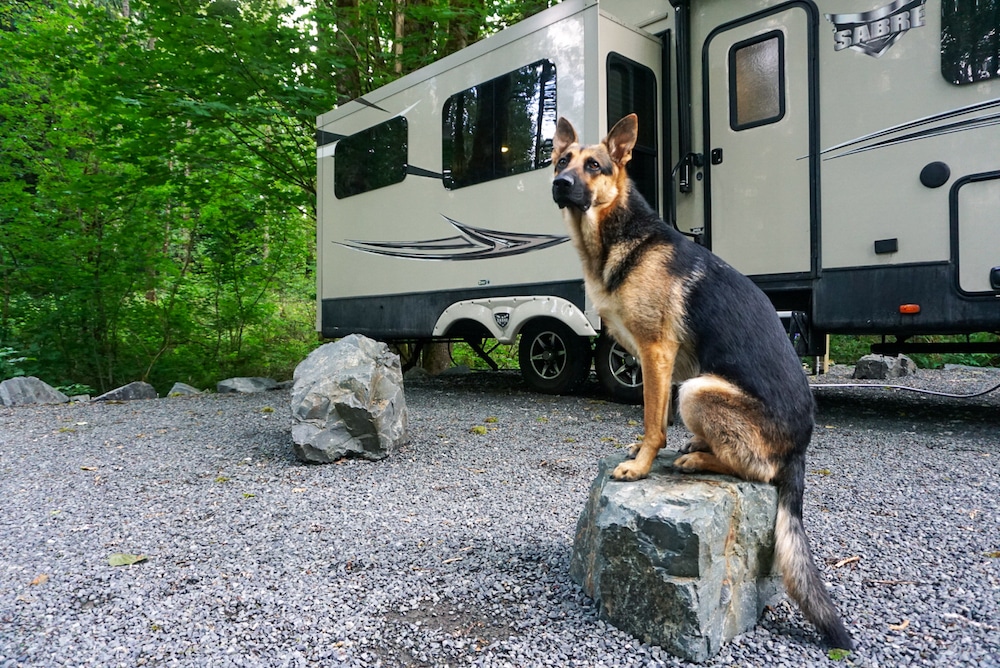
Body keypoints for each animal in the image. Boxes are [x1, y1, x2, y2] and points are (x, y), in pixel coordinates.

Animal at [556, 115, 852, 652]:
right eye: (561, 161)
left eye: (595, 166)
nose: (560, 185)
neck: (617, 233)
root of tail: (801, 446)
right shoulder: (660, 363)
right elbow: (650, 418)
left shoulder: (656, 354)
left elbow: (654, 421)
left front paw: (641, 465)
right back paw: (698, 447)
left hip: (696, 390)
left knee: (758, 471)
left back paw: (696, 458)